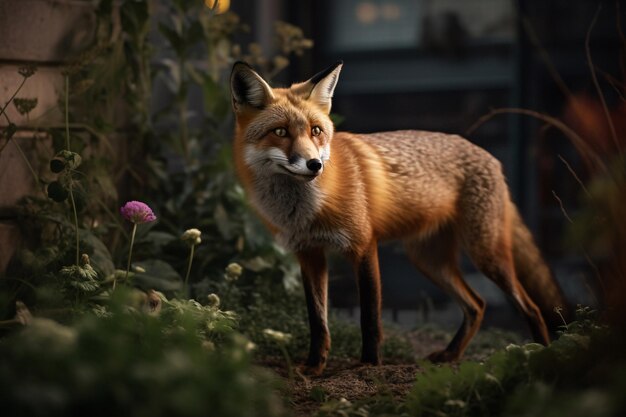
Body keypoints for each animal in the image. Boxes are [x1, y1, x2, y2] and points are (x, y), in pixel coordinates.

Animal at [228, 61, 564, 374]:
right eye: (280, 132)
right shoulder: (309, 254)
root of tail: (489, 156)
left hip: (487, 255)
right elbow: (317, 320)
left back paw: (541, 354)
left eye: (316, 131)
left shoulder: (363, 245)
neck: (307, 209)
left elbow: (369, 316)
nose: (314, 165)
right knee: (477, 305)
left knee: (531, 308)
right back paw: (451, 356)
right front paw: (314, 366)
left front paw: (368, 366)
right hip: (429, 260)